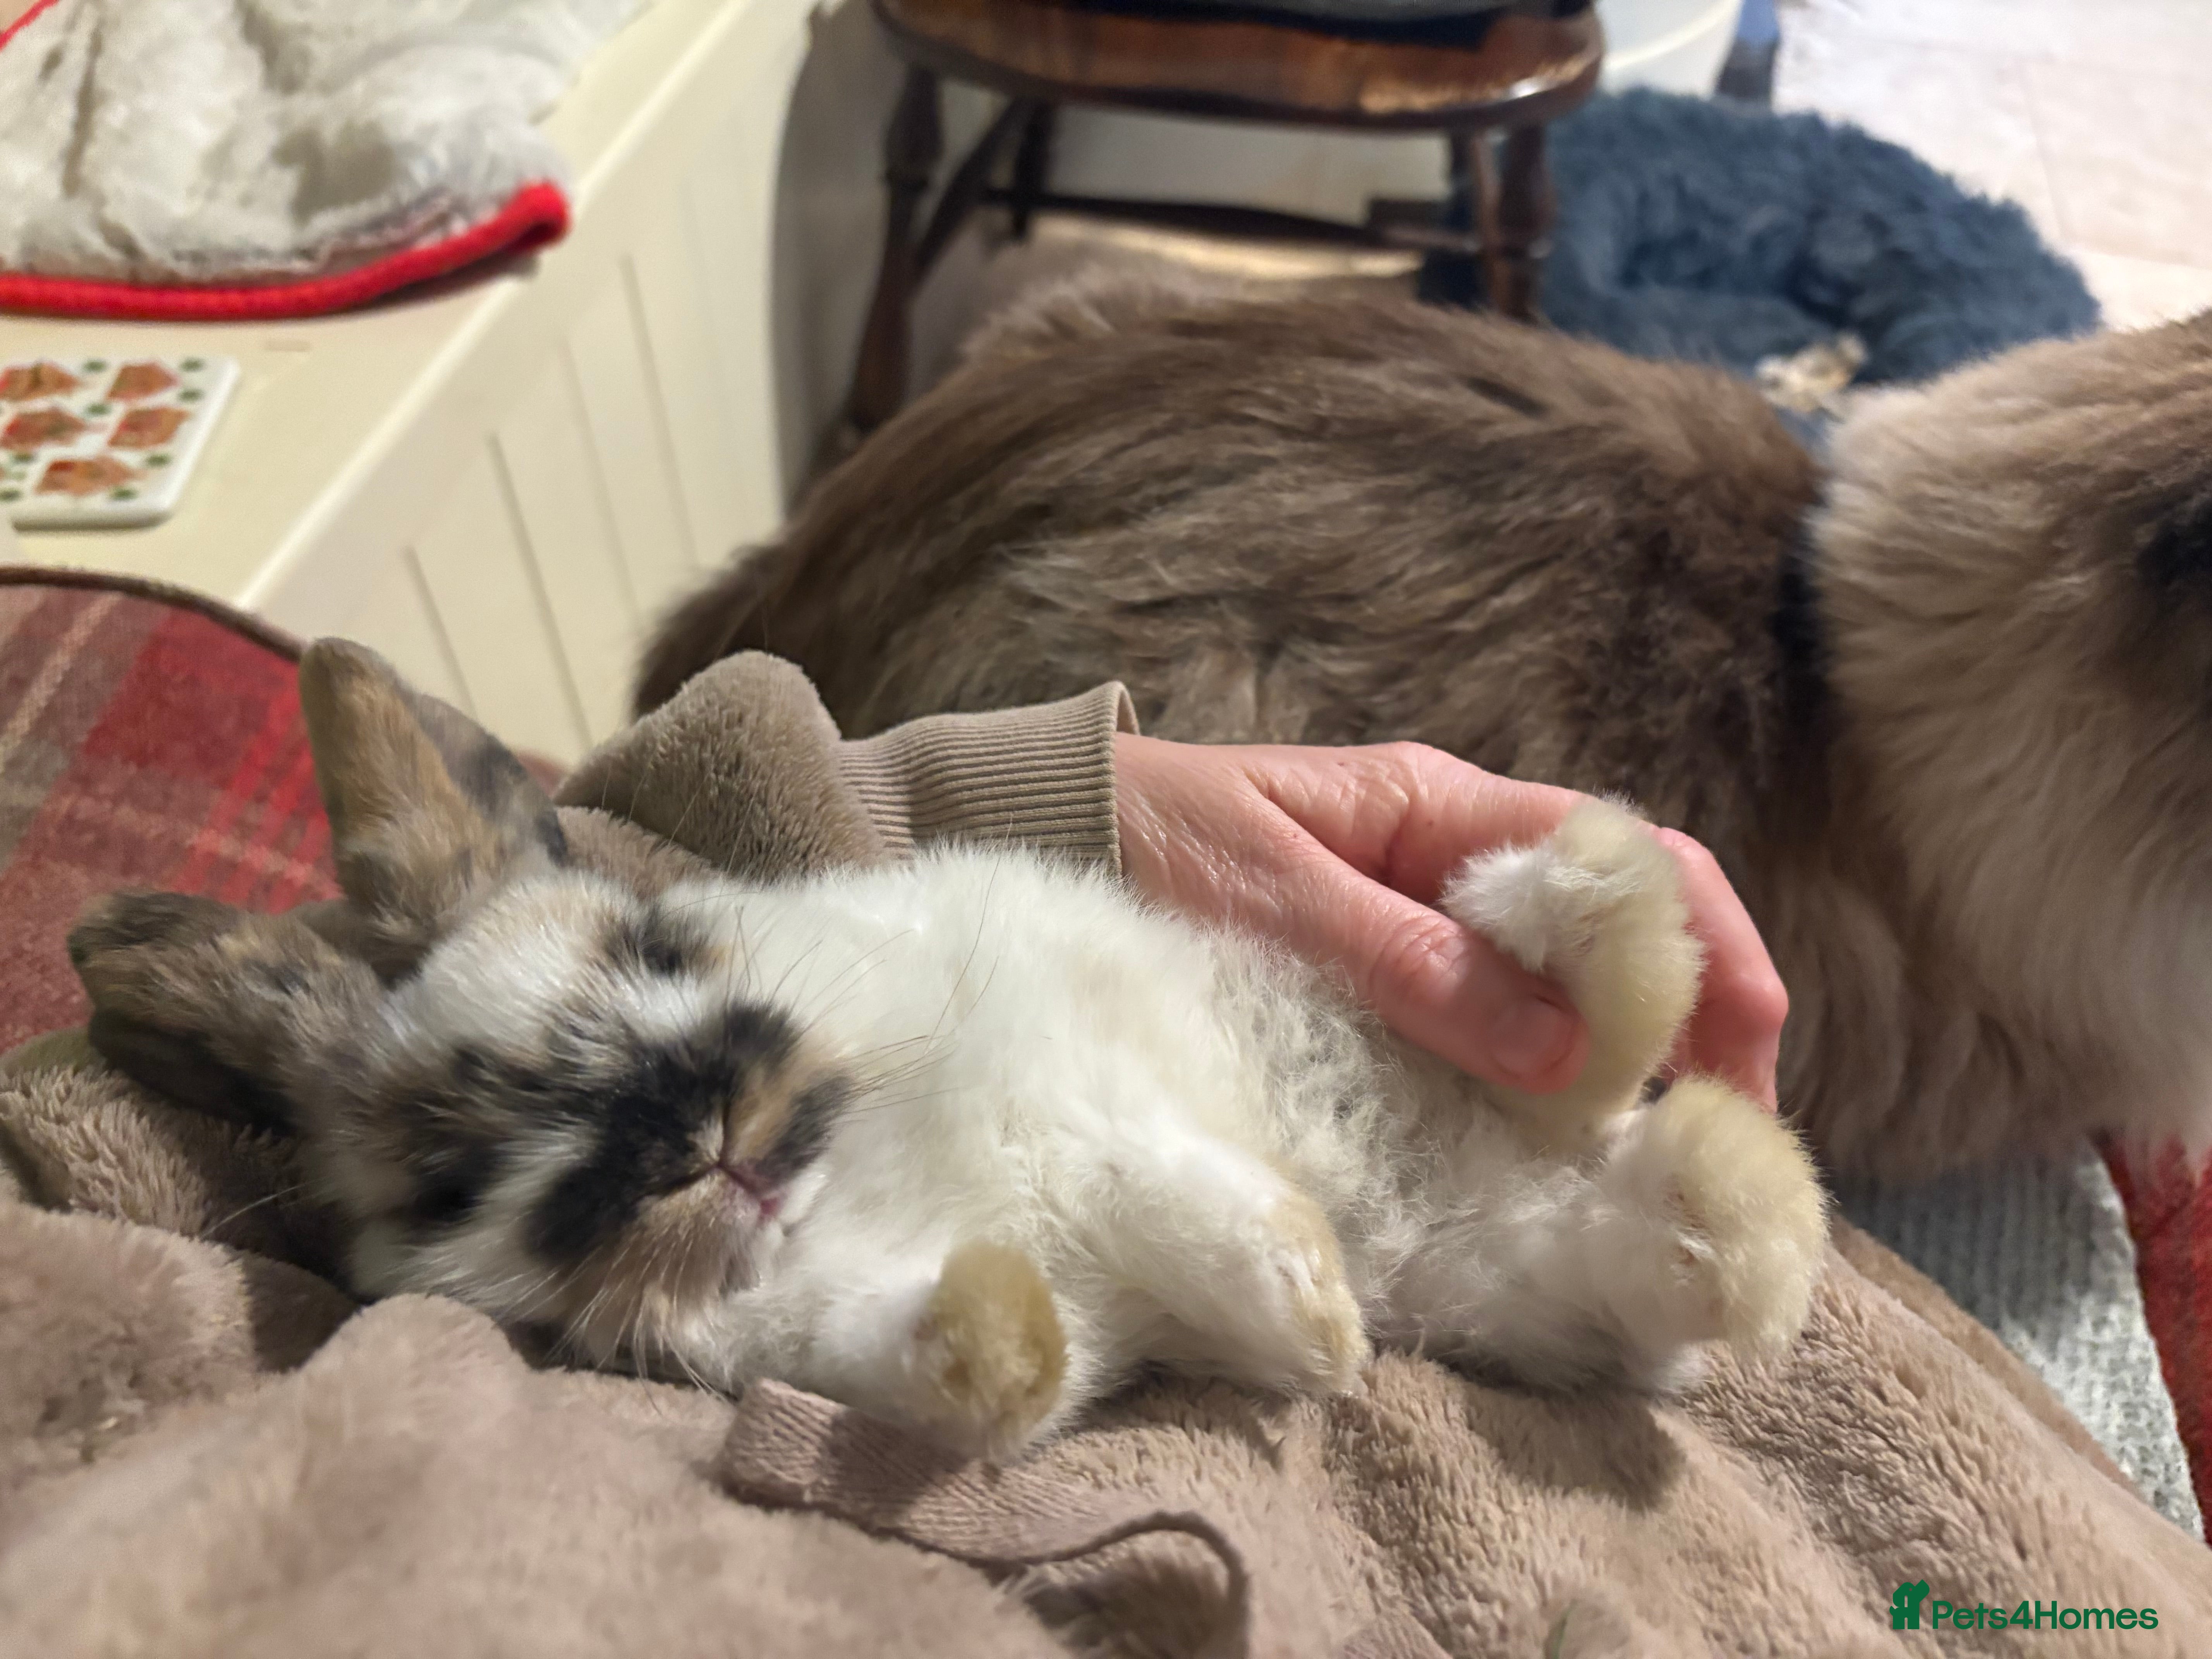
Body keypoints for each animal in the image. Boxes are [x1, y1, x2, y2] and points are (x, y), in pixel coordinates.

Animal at [69, 641, 1826, 1459]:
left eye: (656, 950)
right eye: (456, 1173)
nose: (691, 1128)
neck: (850, 1169)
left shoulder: (1098, 1111)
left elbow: (1196, 1198)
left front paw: (1318, 1326)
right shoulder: (869, 1329)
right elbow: (983, 1367)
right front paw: (1006, 1320)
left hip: (1411, 1016)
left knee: (1593, 1030)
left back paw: (1611, 894)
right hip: (1540, 1266)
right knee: (1707, 1237)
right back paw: (1736, 1181)